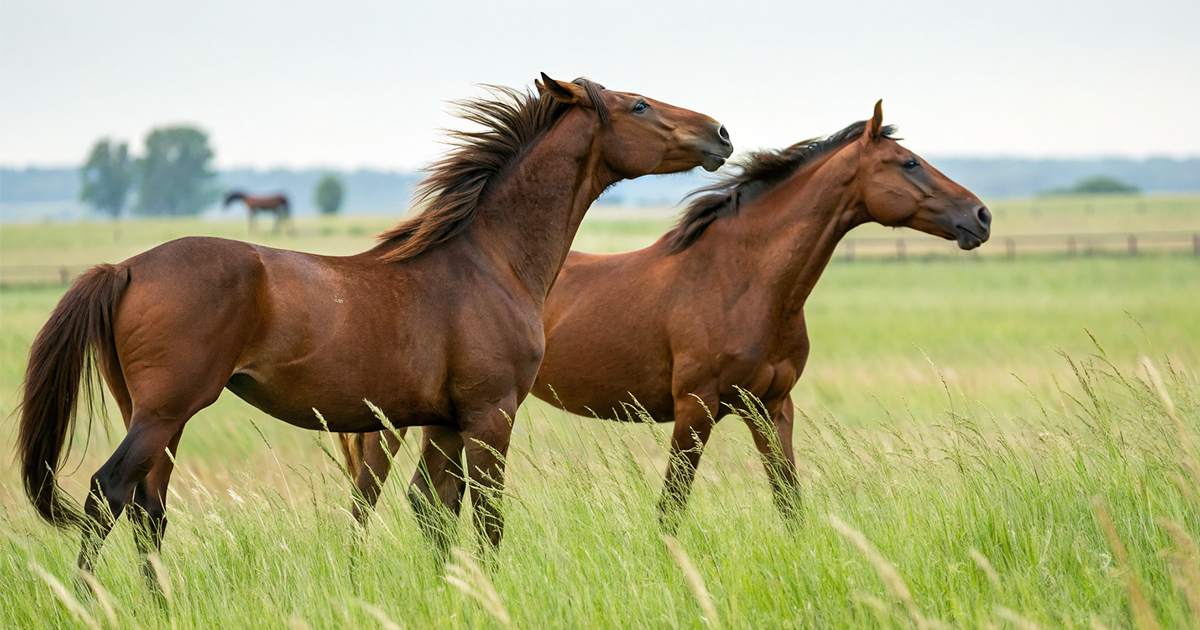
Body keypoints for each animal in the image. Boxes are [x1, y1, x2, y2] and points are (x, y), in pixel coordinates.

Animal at [17, 73, 733, 577]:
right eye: (638, 106)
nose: (721, 134)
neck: (489, 258)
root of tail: (124, 268)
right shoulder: (491, 413)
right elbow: (487, 517)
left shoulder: (444, 421)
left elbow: (434, 511)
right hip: (164, 414)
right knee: (107, 493)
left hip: (156, 420)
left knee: (147, 510)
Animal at [344, 102, 991, 530]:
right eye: (908, 164)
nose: (980, 216)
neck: (744, 281)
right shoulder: (695, 409)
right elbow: (671, 510)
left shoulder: (772, 408)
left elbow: (789, 503)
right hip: (393, 420)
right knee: (365, 498)